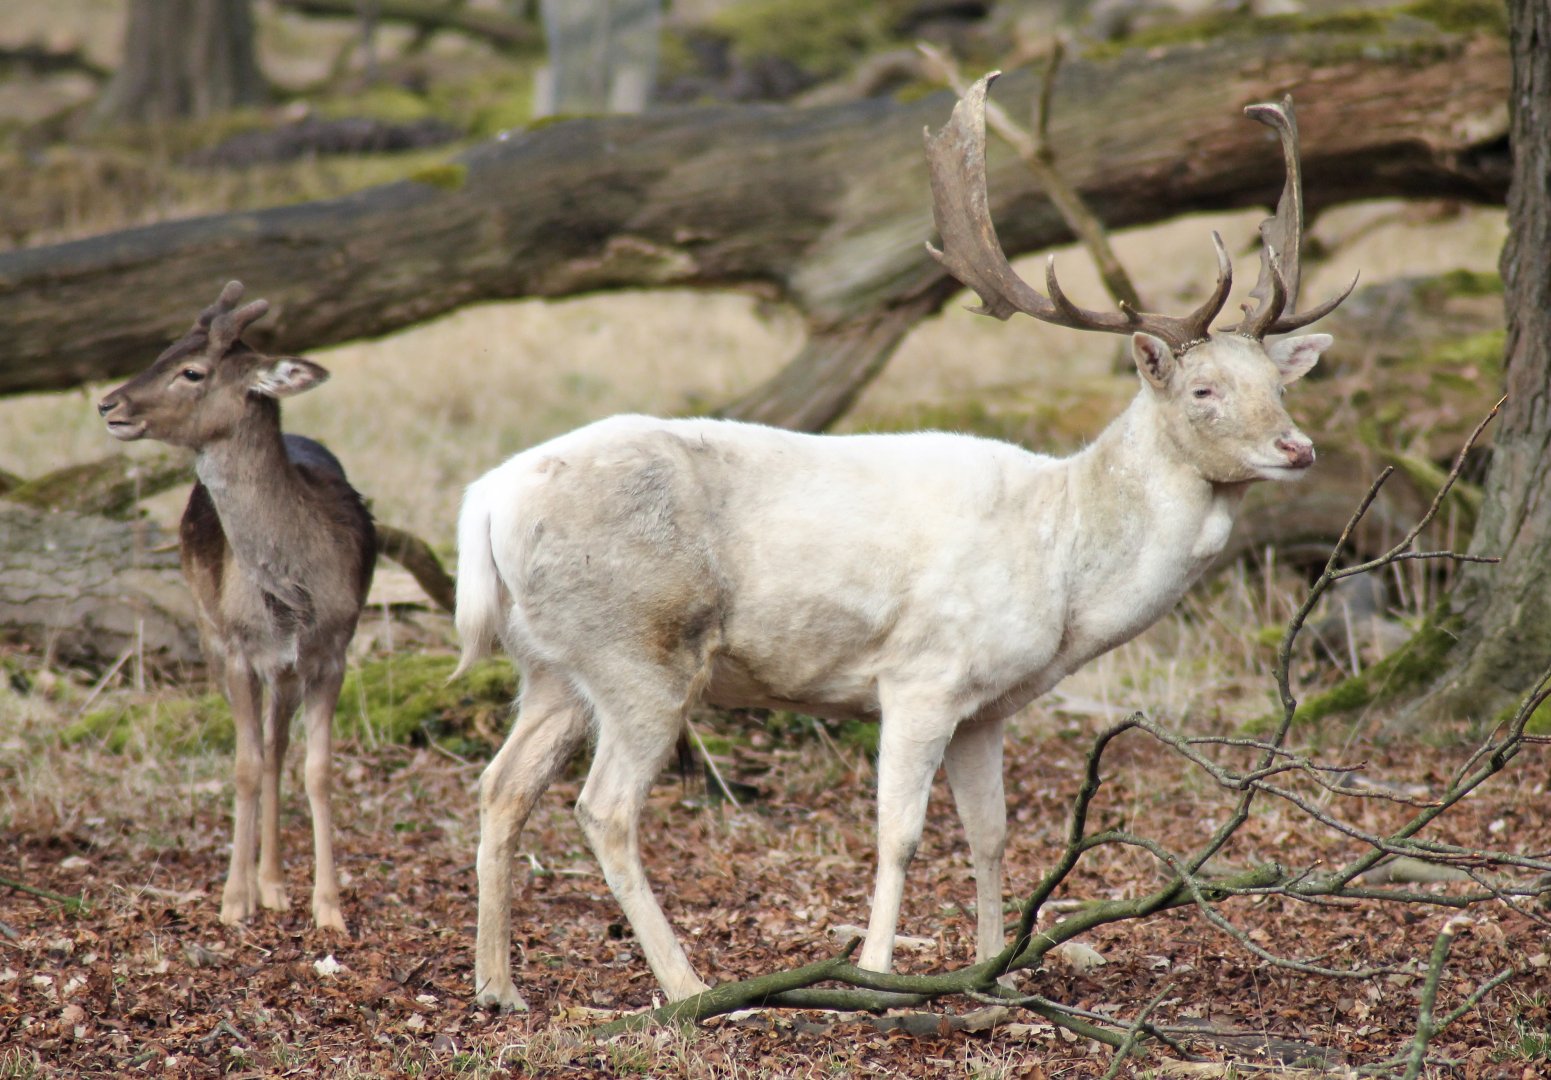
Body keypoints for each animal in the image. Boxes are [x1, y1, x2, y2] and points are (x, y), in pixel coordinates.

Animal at [98, 282, 376, 934]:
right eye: (163, 349)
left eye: (192, 371)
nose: (108, 403)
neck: (293, 588)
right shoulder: (240, 651)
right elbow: (243, 766)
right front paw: (232, 900)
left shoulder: (334, 649)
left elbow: (318, 770)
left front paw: (329, 909)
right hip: (210, 631)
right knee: (260, 749)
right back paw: (261, 885)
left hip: (287, 667)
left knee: (277, 747)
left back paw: (275, 883)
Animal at [452, 77, 1354, 1010]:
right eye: (1204, 389)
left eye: (1277, 382)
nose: (1296, 448)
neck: (1064, 569)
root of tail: (486, 501)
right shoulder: (922, 674)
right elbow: (900, 833)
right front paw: (877, 974)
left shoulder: (987, 707)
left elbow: (990, 834)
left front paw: (994, 969)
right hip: (641, 651)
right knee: (602, 807)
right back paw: (688, 986)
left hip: (551, 663)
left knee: (501, 786)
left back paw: (498, 986)